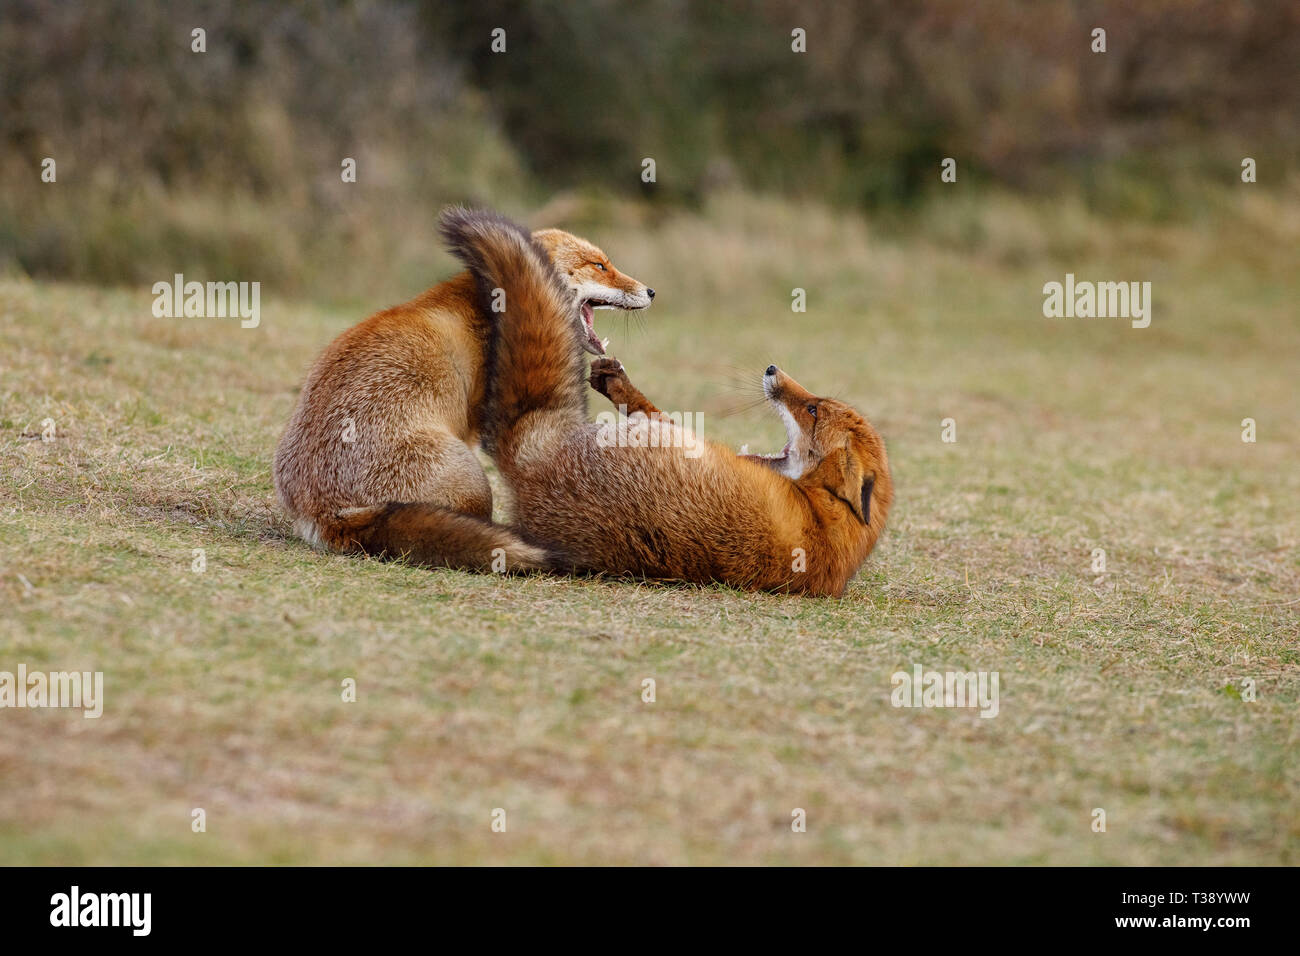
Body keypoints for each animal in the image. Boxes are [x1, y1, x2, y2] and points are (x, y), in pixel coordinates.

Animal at [441, 209, 889, 598]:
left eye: (812, 410)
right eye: (818, 400)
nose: (772, 369)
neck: (829, 518)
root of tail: (532, 465)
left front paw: (617, 382)